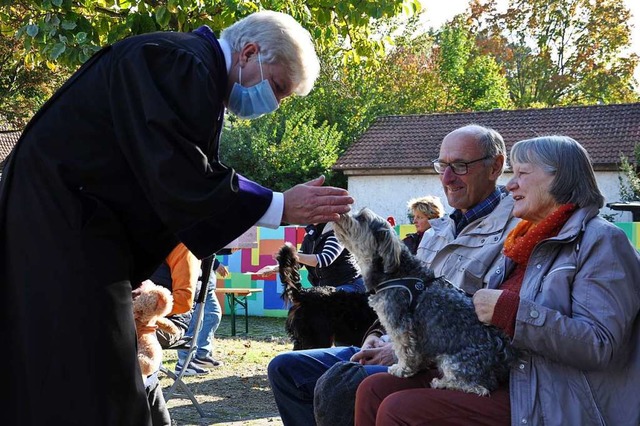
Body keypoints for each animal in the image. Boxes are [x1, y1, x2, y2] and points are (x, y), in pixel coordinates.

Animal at [332, 210, 516, 396]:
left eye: (362, 218)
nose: (342, 213)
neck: (396, 273)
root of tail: (502, 352)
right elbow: (416, 353)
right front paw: (417, 367)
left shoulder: (401, 326)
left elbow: (403, 349)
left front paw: (401, 369)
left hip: (453, 361)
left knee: (478, 387)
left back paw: (442, 382)